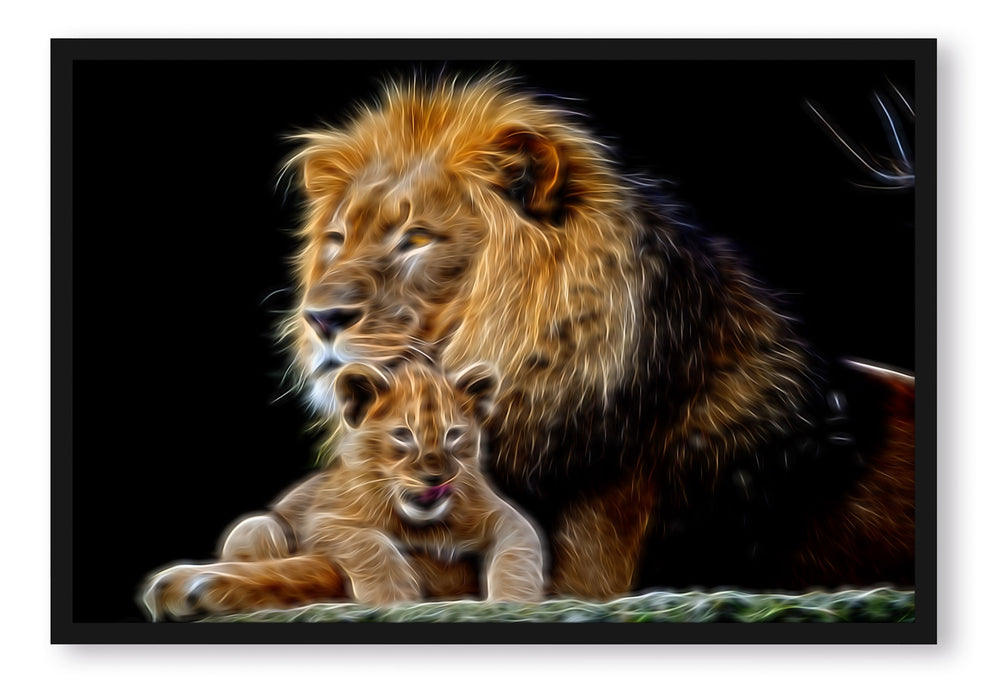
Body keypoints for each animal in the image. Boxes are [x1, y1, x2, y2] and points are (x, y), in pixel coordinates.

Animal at [142, 360, 545, 619]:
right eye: (403, 435)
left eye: (454, 435)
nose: (435, 478)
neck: (427, 527)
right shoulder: (326, 521)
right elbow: (370, 545)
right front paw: (394, 599)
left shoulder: (504, 517)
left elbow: (519, 551)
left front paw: (514, 601)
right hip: (257, 526)